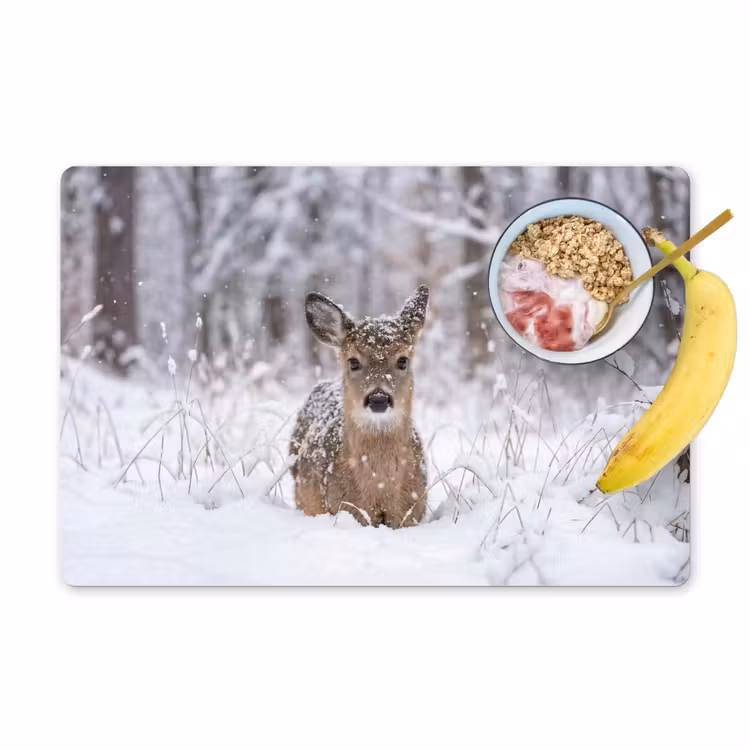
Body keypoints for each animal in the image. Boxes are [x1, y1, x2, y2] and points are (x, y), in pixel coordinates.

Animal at [289, 286, 430, 529]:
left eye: (403, 360)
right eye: (353, 361)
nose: (379, 398)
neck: (380, 490)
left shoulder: (411, 513)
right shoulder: (343, 508)